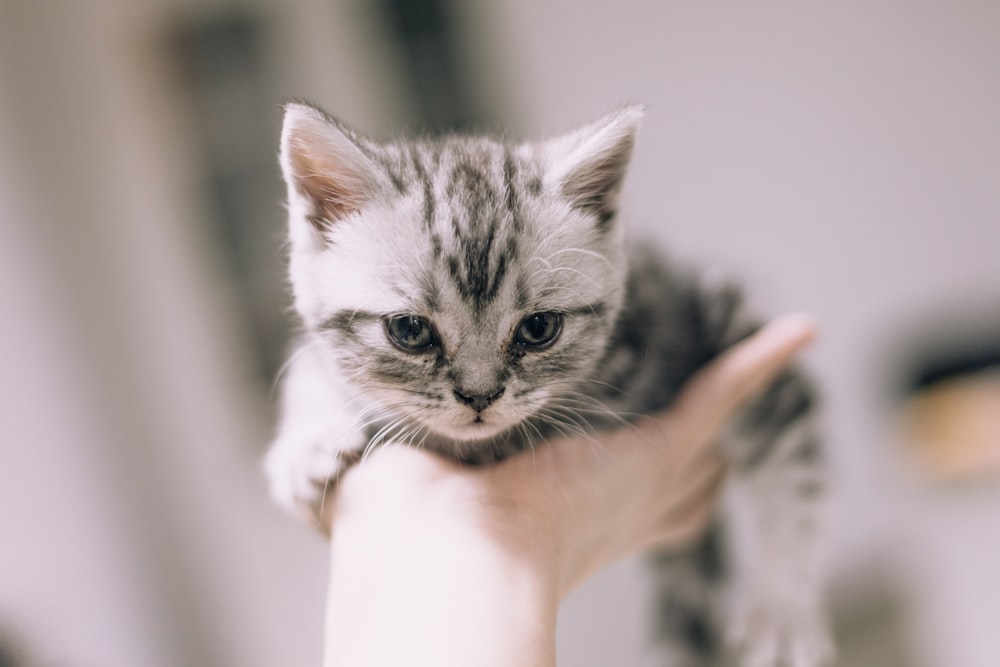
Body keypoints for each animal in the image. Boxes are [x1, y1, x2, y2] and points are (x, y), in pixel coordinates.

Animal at [264, 103, 828, 667]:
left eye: (538, 329)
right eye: (409, 331)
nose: (479, 396)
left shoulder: (721, 320)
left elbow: (790, 475)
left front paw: (782, 611)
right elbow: (307, 364)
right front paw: (306, 440)